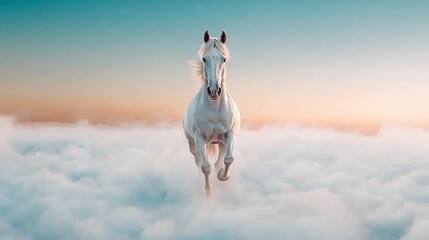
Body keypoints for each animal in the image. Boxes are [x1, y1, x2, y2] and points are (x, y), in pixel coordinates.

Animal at [181, 30, 239, 193]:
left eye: (224, 59)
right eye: (204, 59)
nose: (214, 91)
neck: (214, 108)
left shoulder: (230, 134)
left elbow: (228, 159)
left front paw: (223, 176)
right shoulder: (199, 139)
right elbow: (205, 167)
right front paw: (208, 192)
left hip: (221, 143)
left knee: (219, 160)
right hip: (193, 145)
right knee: (199, 162)